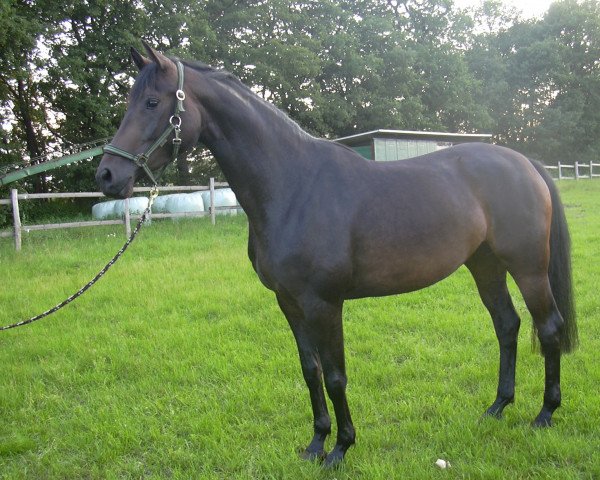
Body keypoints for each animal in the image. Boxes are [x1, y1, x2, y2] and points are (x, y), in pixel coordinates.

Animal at [95, 44, 576, 464]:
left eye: (152, 102)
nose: (107, 175)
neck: (292, 186)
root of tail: (525, 163)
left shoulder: (324, 304)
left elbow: (336, 376)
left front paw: (341, 449)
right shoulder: (289, 303)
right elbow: (310, 372)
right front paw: (315, 444)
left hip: (528, 268)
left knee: (548, 327)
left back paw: (544, 414)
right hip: (485, 265)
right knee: (507, 325)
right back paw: (497, 407)